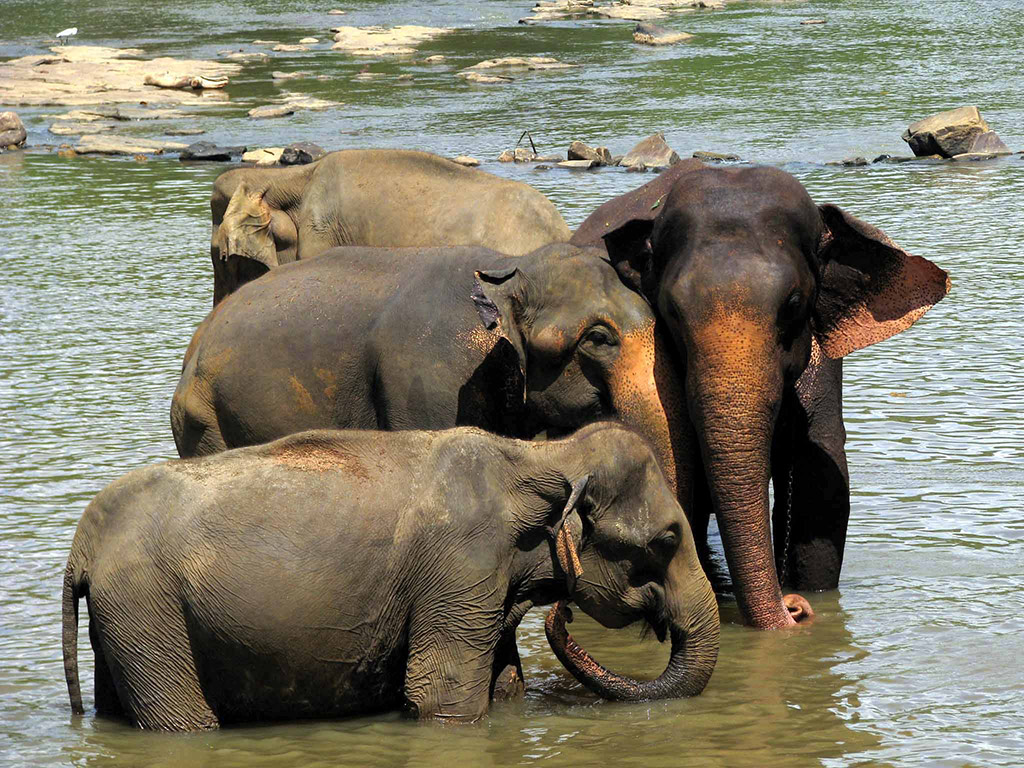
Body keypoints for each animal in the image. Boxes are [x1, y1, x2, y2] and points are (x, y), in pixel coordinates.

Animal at [62, 423, 720, 729]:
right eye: (666, 539)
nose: (564, 614)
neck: (540, 453)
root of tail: (83, 544)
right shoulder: (461, 564)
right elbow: (442, 694)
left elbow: (504, 685)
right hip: (146, 607)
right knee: (183, 720)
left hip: (124, 617)